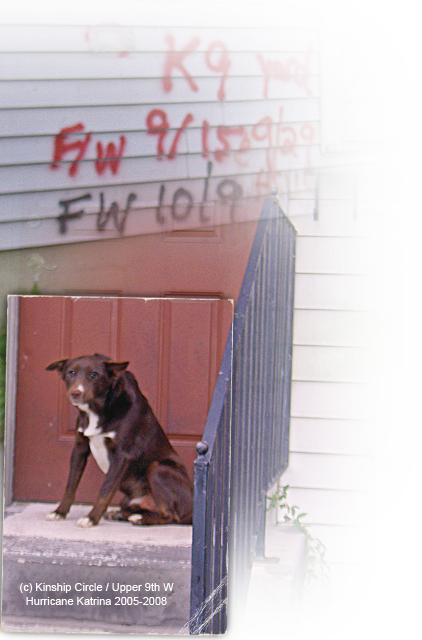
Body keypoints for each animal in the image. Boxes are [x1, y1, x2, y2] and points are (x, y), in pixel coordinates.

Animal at [44, 352, 193, 528]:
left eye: (94, 375)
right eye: (71, 373)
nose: (75, 393)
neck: (98, 409)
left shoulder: (121, 456)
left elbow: (105, 490)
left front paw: (91, 518)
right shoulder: (79, 449)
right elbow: (70, 486)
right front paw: (59, 512)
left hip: (158, 468)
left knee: (171, 515)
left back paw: (140, 519)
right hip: (128, 499)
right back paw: (120, 514)